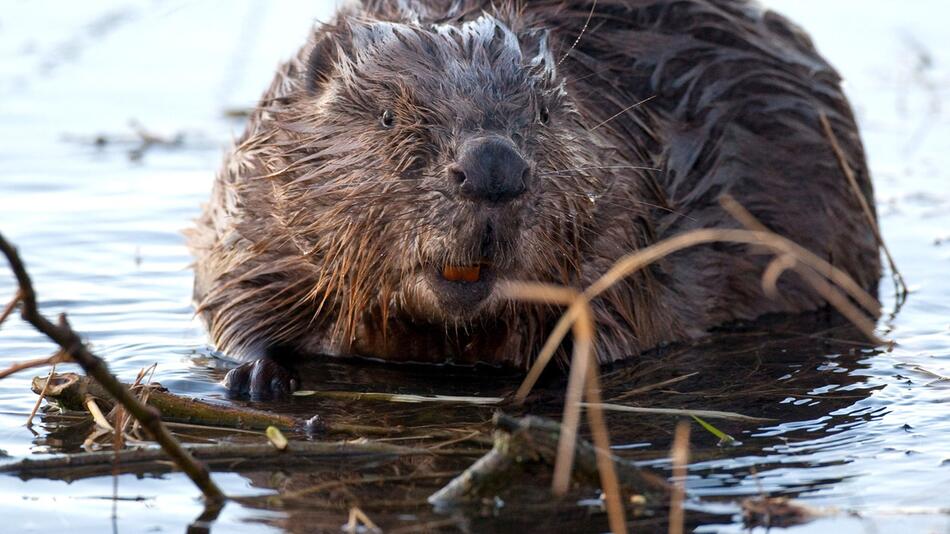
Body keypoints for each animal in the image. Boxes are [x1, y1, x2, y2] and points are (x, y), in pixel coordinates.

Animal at [188, 0, 884, 398]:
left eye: (545, 114)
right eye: (387, 116)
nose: (492, 167)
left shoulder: (626, 219)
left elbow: (616, 323)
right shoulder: (254, 204)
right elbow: (232, 296)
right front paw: (255, 374)